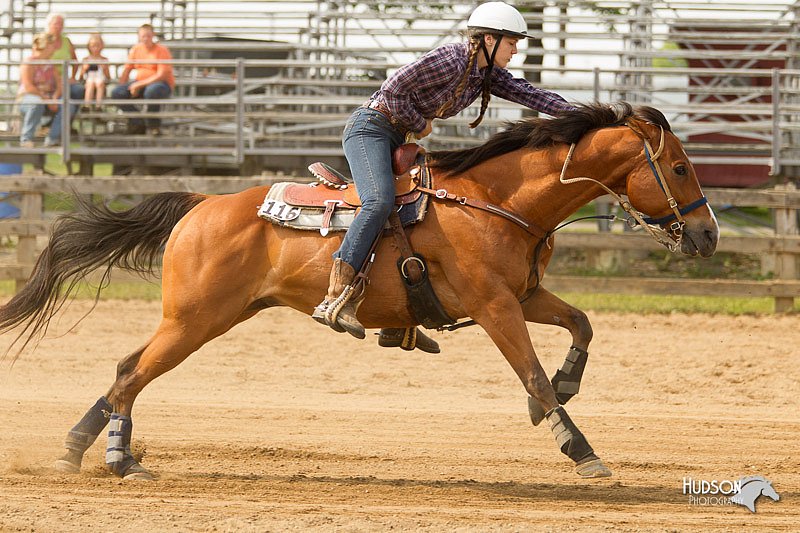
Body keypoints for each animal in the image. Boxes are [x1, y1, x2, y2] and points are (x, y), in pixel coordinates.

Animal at [0, 102, 720, 480]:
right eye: (681, 166)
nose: (708, 234)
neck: (496, 200)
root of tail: (203, 205)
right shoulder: (494, 308)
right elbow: (533, 375)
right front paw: (580, 448)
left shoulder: (525, 296)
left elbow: (581, 325)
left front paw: (568, 389)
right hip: (194, 320)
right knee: (132, 372)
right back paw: (114, 457)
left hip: (206, 318)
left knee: (127, 368)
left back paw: (88, 447)